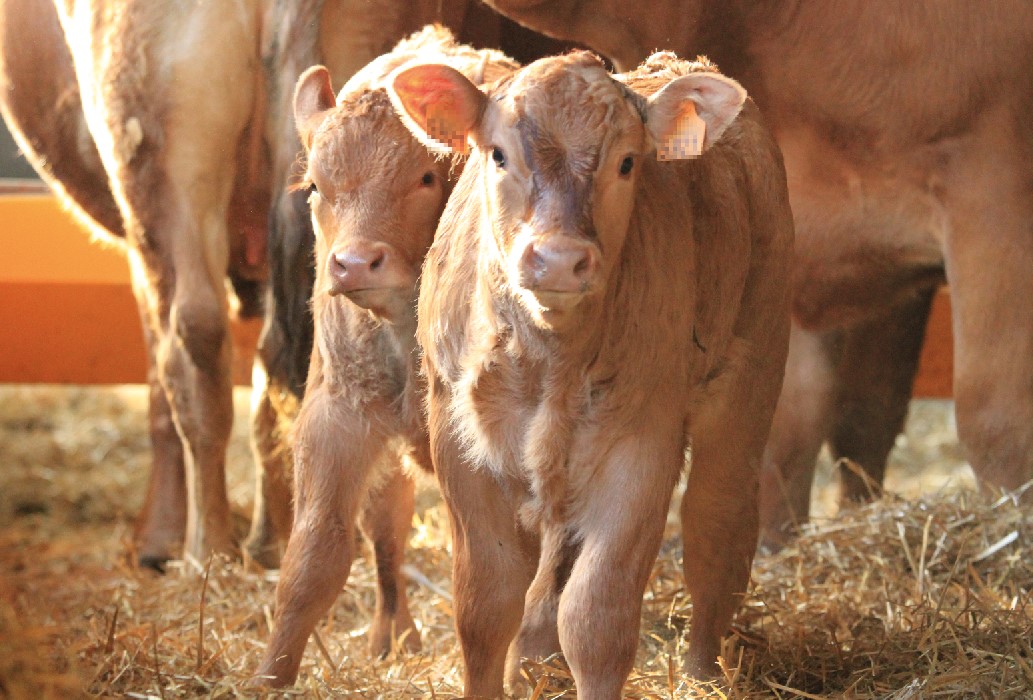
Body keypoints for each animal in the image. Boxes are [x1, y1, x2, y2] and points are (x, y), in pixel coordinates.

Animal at [0, 0, 557, 569]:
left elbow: (161, 377)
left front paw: (158, 537)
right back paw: (272, 541)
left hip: (172, 175)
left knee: (197, 341)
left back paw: (209, 548)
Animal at [254, 28, 520, 689]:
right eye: (316, 186)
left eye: (427, 177)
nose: (354, 264)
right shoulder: (337, 419)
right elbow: (313, 561)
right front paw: (268, 677)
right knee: (386, 527)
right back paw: (391, 633)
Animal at [388, 52, 789, 697]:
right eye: (498, 154)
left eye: (627, 162)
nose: (558, 259)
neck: (550, 364)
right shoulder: (458, 443)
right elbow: (484, 606)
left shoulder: (642, 448)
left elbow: (596, 618)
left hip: (752, 370)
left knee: (716, 522)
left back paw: (702, 672)